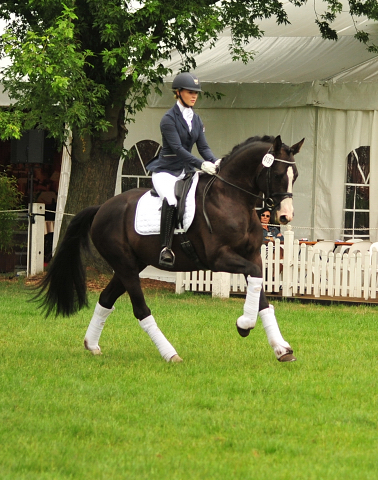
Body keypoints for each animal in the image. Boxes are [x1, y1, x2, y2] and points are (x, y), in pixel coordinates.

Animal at [36, 135, 304, 364]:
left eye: (296, 175)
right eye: (278, 174)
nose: (286, 216)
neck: (232, 198)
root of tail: (102, 208)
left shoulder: (253, 258)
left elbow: (262, 297)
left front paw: (281, 349)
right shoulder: (219, 258)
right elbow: (256, 286)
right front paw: (244, 325)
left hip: (131, 265)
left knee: (106, 298)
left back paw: (91, 345)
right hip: (125, 265)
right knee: (140, 309)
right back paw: (170, 354)